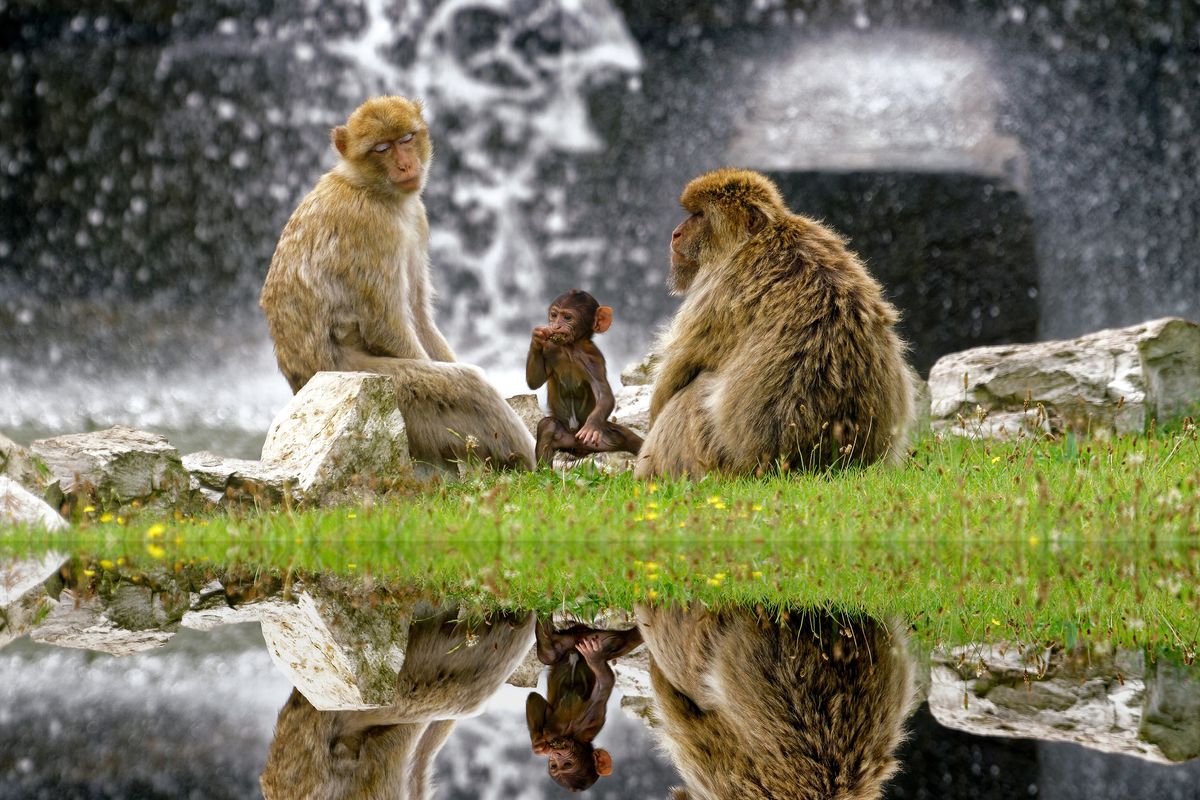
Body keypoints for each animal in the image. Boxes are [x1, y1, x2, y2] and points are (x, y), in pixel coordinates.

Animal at [259, 95, 536, 474]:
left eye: (405, 139)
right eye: (381, 148)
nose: (406, 165)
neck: (370, 188)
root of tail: (301, 386)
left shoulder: (416, 218)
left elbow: (417, 313)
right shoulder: (371, 227)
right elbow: (386, 326)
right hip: (378, 387)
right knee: (468, 387)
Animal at [525, 289, 644, 466]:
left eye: (567, 317)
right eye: (554, 315)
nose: (556, 325)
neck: (570, 348)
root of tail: (581, 449)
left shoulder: (593, 359)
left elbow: (604, 393)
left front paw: (591, 427)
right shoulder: (549, 348)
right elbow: (534, 381)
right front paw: (537, 336)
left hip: (600, 439)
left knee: (625, 436)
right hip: (566, 438)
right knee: (547, 426)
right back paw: (543, 471)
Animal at [526, 618, 644, 792]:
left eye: (567, 765)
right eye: (554, 766)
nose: (556, 754)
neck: (571, 735)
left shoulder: (592, 717)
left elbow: (604, 682)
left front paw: (594, 659)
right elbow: (535, 699)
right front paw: (539, 746)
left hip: (596, 640)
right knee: (547, 653)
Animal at [634, 168, 917, 480]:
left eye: (699, 215)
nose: (675, 233)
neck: (758, 239)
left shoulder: (716, 293)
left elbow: (674, 375)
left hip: (723, 458)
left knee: (692, 395)